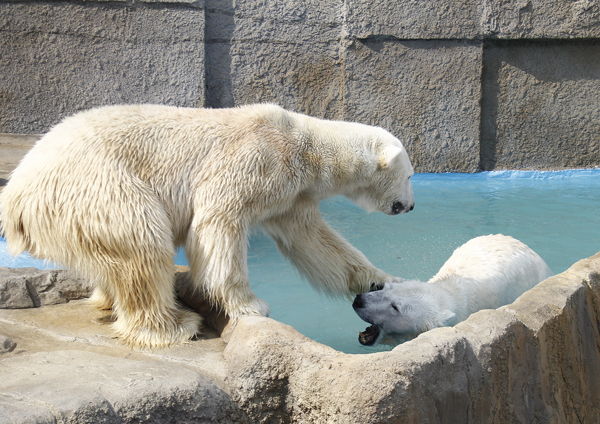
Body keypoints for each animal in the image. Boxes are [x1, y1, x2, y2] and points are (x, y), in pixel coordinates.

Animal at [0, 103, 414, 348]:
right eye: (410, 175)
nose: (410, 206)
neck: (304, 147)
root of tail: (16, 193)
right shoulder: (254, 161)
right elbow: (219, 220)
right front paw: (249, 305)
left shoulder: (291, 197)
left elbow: (315, 241)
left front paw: (381, 280)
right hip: (97, 187)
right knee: (143, 240)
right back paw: (174, 325)